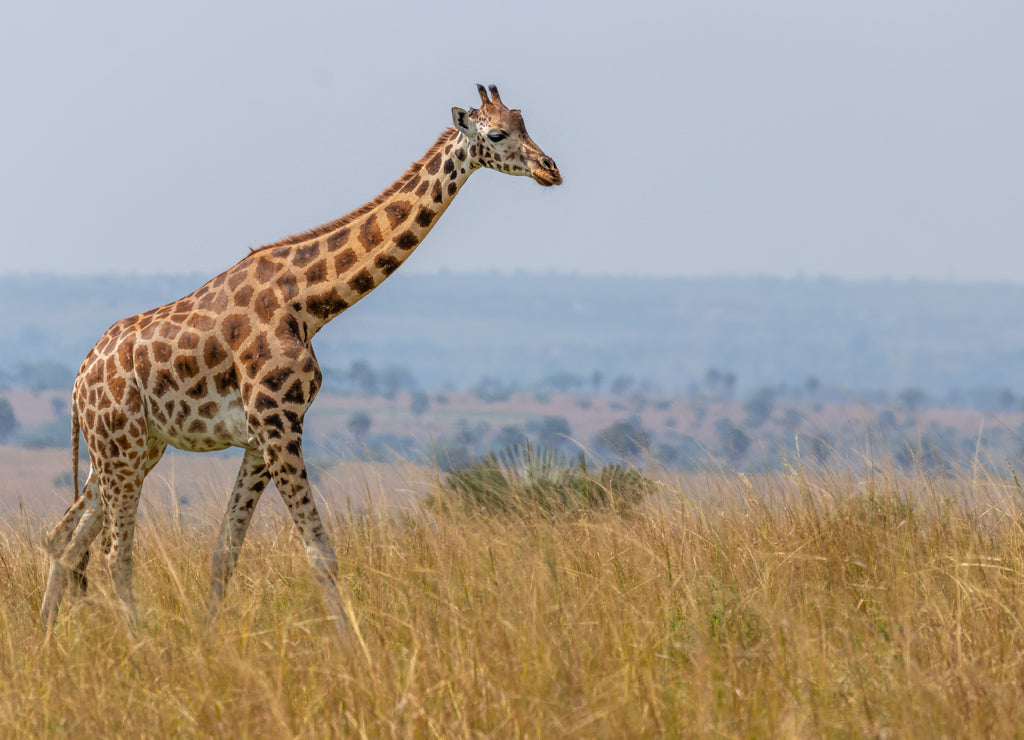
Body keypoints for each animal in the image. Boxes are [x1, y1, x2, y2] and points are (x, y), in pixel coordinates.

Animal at [40, 84, 561, 632]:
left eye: (523, 121)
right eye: (497, 133)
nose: (550, 169)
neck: (310, 302)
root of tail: (78, 381)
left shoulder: (259, 438)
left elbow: (226, 552)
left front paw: (209, 639)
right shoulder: (278, 423)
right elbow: (320, 552)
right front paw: (353, 644)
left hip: (131, 449)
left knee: (65, 539)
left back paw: (48, 637)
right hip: (119, 447)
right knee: (112, 551)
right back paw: (136, 641)